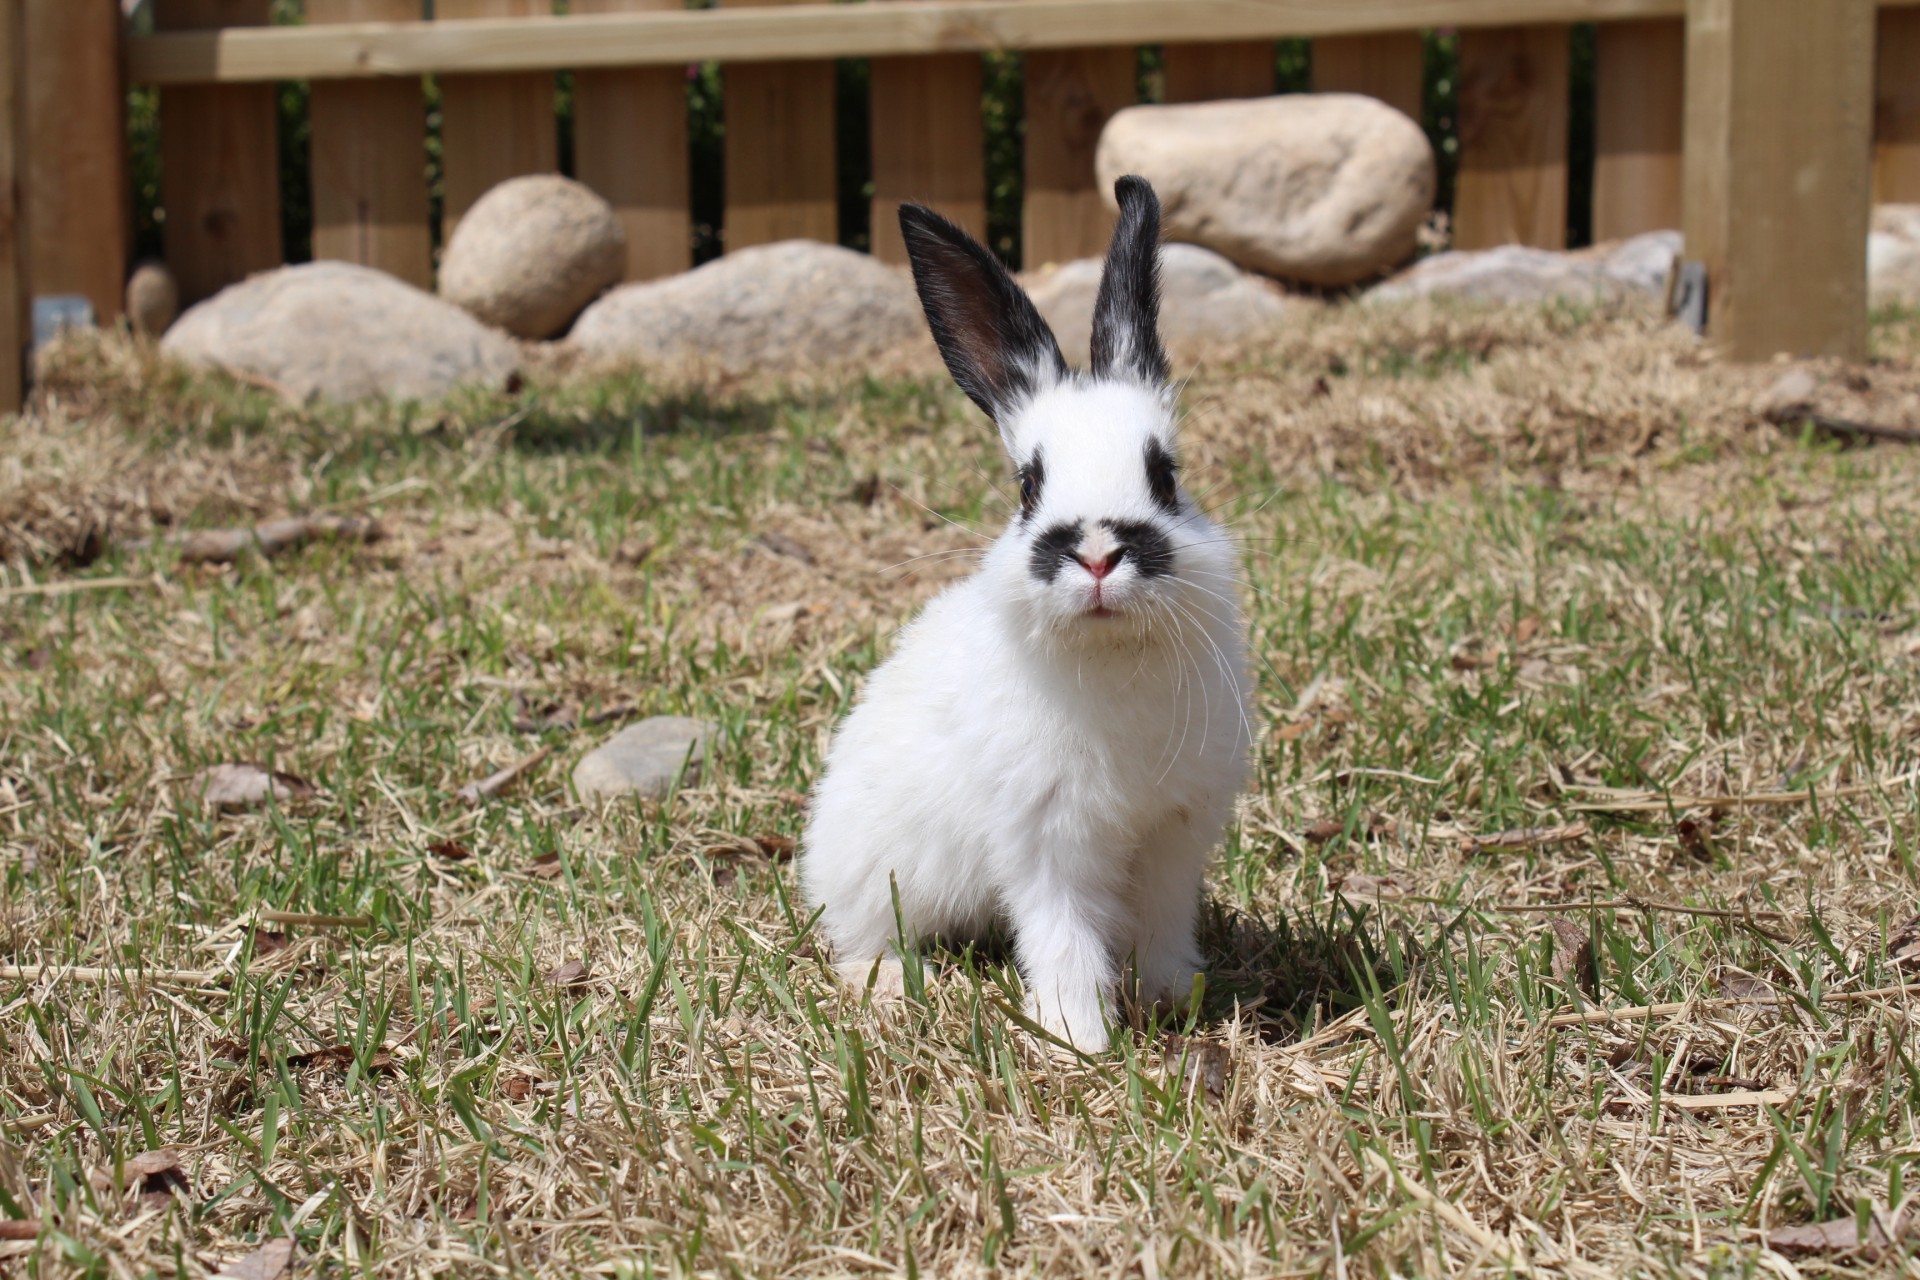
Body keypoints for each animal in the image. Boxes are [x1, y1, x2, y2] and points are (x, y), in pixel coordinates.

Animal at [800, 176, 1251, 1052]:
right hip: (872, 873)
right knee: (863, 933)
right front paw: (1081, 1037)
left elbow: (1160, 924)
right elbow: (1063, 935)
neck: (1111, 660)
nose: (1100, 553)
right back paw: (887, 986)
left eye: (1166, 475)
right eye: (1028, 486)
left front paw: (1172, 996)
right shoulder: (1046, 842)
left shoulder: (1174, 837)